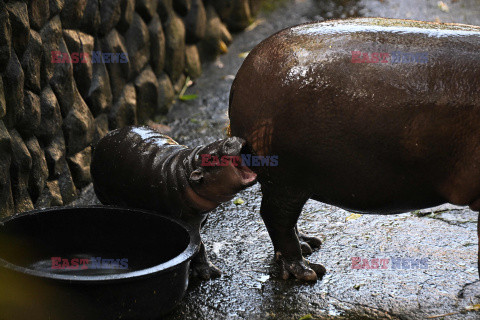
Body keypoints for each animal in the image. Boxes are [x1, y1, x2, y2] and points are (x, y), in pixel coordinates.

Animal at [89, 126, 255, 278]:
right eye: (212, 157)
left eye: (220, 140)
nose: (231, 139)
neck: (188, 168)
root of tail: (101, 141)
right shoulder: (188, 222)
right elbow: (198, 245)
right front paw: (208, 274)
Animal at [228, 18, 480, 282]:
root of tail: (242, 73)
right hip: (285, 179)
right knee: (275, 217)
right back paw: (306, 270)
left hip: (286, 182)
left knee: (286, 220)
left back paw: (309, 244)